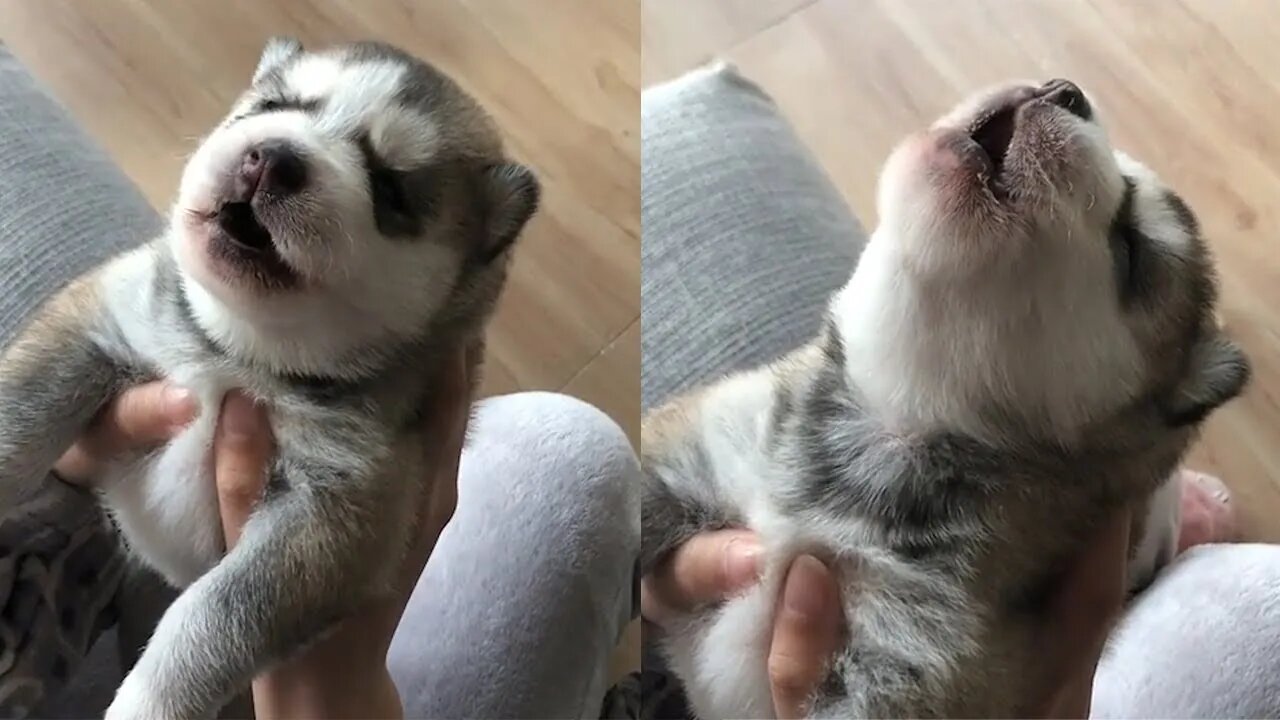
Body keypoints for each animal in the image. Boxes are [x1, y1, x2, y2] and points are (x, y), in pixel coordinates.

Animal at [0, 39, 537, 717]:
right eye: (274, 106)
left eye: (389, 189)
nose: (274, 158)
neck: (238, 355)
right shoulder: (97, 322)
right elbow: (20, 416)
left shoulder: (336, 513)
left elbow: (212, 616)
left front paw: (149, 701)